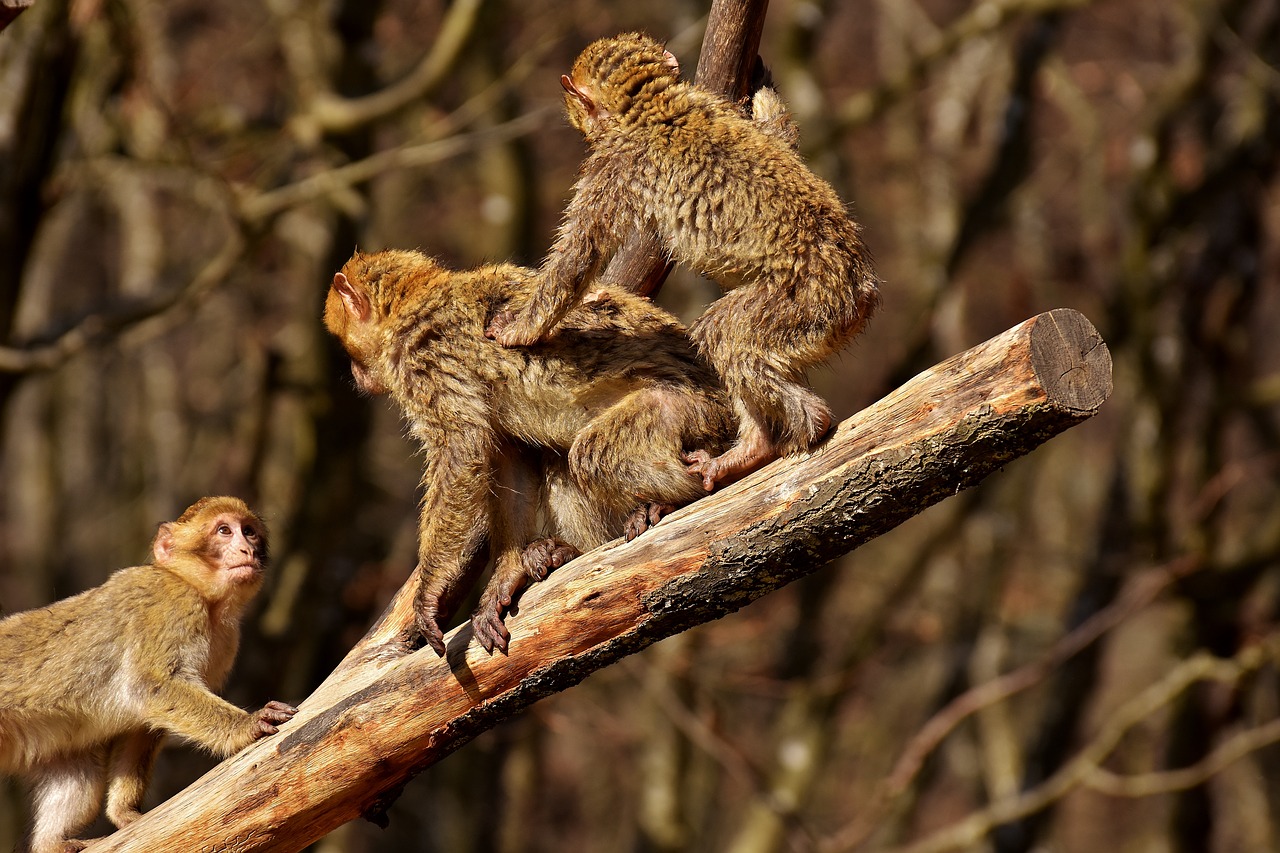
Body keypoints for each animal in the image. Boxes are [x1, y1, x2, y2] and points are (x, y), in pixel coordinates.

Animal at [0, 494, 296, 845]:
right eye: (224, 530)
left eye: (248, 531)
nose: (247, 549)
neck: (202, 596)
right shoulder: (172, 605)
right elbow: (150, 686)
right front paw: (248, 725)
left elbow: (141, 725)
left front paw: (123, 812)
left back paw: (54, 844)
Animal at [325, 245, 737, 650]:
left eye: (348, 350)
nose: (355, 373)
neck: (411, 304)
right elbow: (510, 457)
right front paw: (507, 573)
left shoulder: (424, 360)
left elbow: (462, 453)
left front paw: (428, 591)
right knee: (562, 462)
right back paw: (572, 551)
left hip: (695, 412)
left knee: (593, 453)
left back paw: (677, 498)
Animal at [486, 33, 880, 489]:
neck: (654, 104)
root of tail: (861, 287)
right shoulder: (709, 101)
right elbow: (780, 138)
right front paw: (761, 81)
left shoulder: (614, 165)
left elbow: (578, 258)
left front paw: (519, 329)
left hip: (809, 301)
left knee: (722, 333)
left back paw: (779, 436)